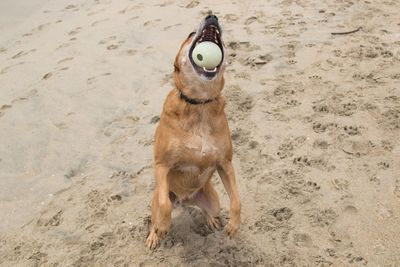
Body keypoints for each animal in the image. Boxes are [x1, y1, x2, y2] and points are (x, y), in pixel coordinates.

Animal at [147, 15, 241, 249]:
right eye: (190, 34)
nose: (212, 16)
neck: (200, 104)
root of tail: (185, 199)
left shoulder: (225, 163)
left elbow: (236, 200)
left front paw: (234, 225)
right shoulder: (162, 165)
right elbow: (164, 205)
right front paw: (163, 228)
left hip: (213, 200)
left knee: (211, 209)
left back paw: (211, 219)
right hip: (157, 200)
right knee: (158, 212)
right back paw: (154, 234)